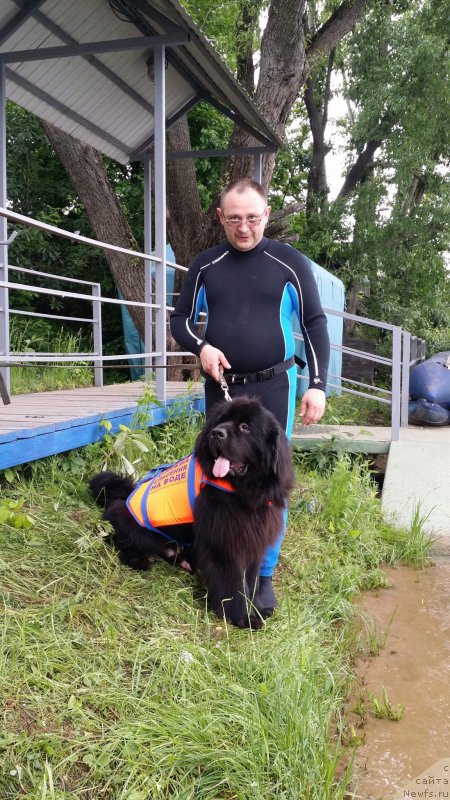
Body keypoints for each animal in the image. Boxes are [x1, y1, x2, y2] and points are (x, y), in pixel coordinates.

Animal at [90, 396, 296, 628]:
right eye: (221, 421)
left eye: (245, 427)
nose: (217, 433)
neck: (244, 492)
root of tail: (121, 498)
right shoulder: (225, 544)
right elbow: (233, 584)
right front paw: (240, 617)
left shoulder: (252, 541)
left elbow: (250, 582)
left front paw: (257, 609)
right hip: (132, 527)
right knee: (119, 542)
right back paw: (140, 559)